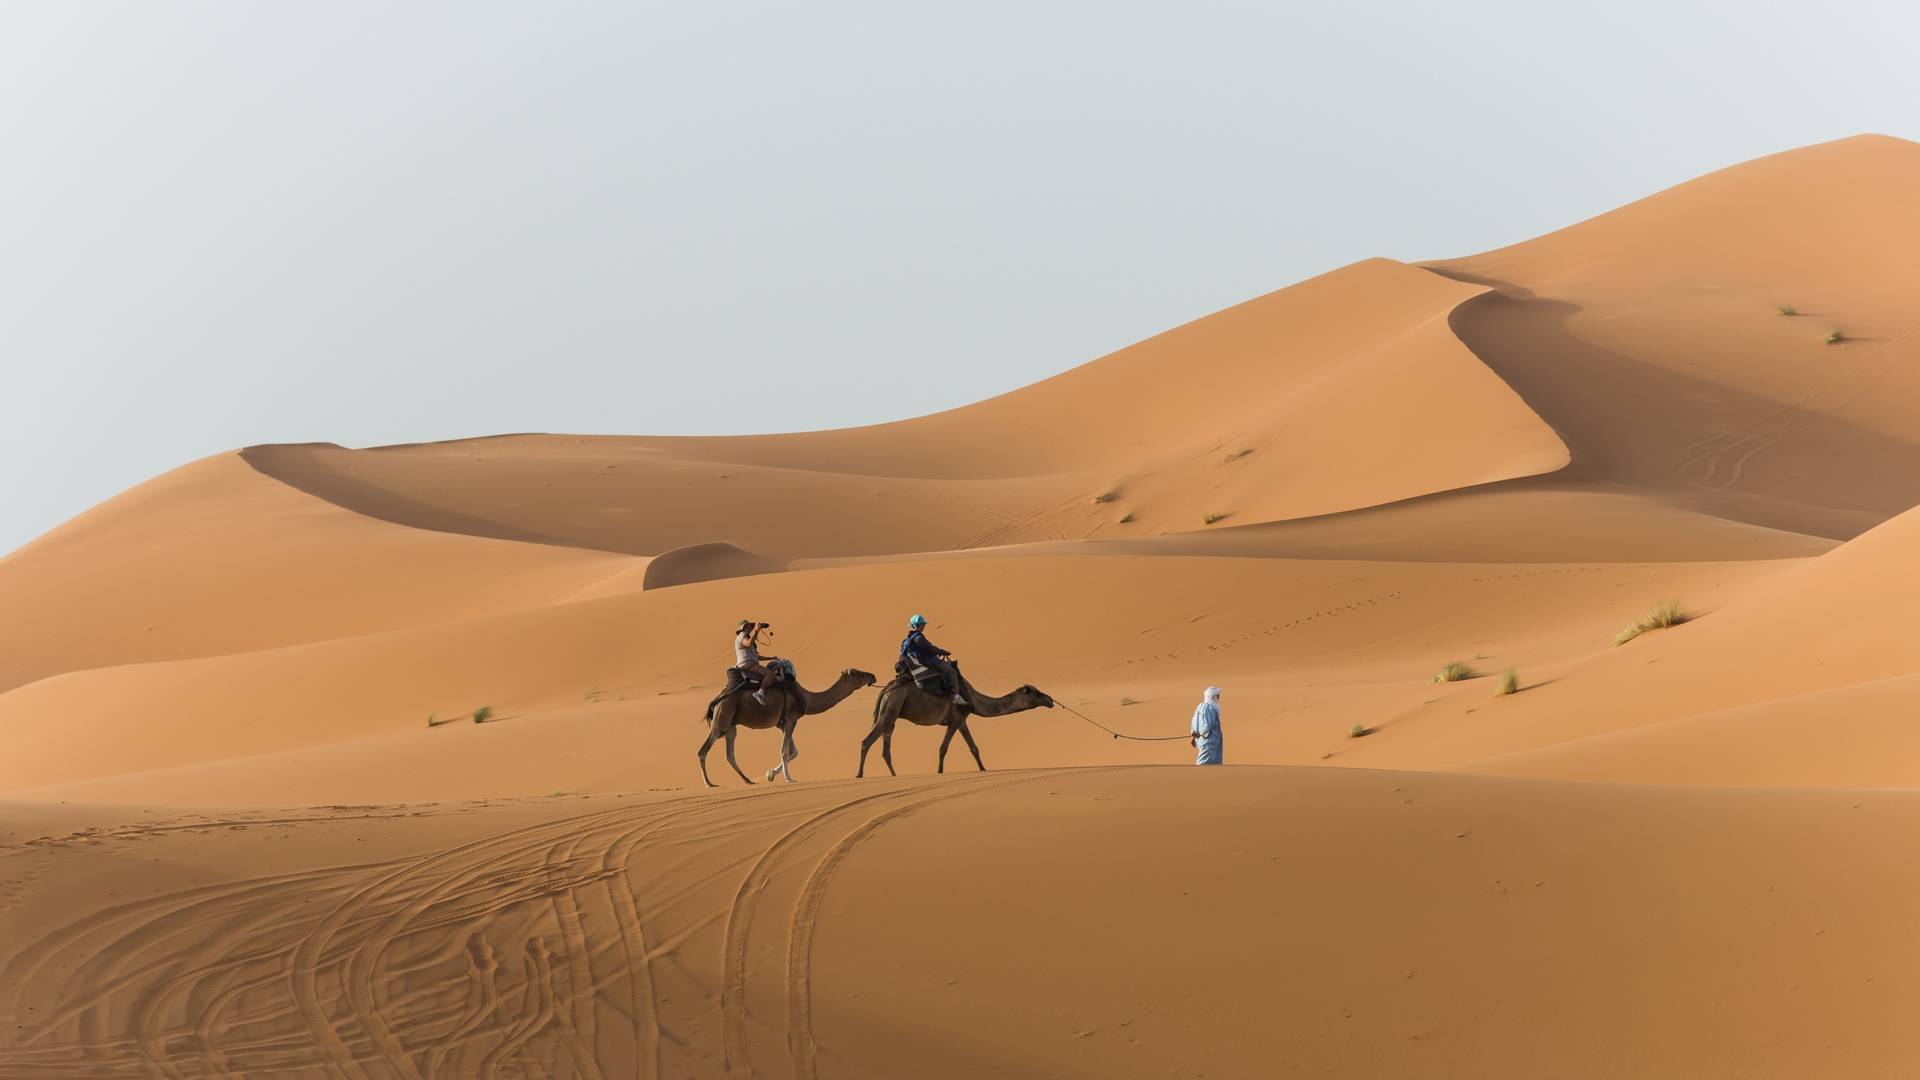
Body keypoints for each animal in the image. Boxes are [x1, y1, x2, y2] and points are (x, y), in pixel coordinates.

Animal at [697, 667, 876, 787]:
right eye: (860, 674)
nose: (873, 676)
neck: (806, 698)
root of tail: (718, 698)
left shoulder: (784, 724)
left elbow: (794, 752)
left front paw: (770, 774)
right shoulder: (791, 720)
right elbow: (785, 751)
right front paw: (788, 778)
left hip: (731, 726)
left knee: (729, 754)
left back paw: (747, 780)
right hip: (722, 719)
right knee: (703, 750)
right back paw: (709, 783)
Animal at [856, 665, 1055, 778]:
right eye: (1037, 693)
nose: (1050, 700)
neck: (973, 699)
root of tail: (885, 690)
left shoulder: (962, 720)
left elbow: (974, 748)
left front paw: (983, 769)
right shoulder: (956, 718)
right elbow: (943, 748)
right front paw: (939, 772)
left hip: (891, 711)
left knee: (886, 744)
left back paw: (894, 774)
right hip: (892, 706)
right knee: (867, 741)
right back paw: (859, 774)